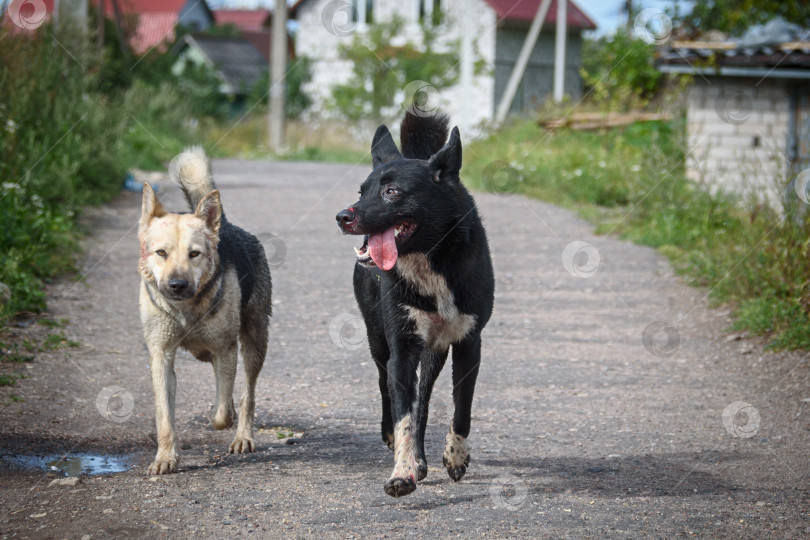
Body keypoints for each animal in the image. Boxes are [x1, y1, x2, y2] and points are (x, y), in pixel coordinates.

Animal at [137, 148, 274, 472]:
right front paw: (165, 457)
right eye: (161, 253)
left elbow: (222, 413)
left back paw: (243, 436)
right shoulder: (161, 355)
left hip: (254, 339)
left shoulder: (226, 348)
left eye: (194, 254)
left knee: (247, 393)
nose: (177, 285)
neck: (186, 309)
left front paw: (221, 415)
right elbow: (164, 415)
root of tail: (227, 226)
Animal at [334, 112, 492, 496]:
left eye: (392, 192)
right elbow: (403, 414)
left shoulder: (469, 343)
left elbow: (461, 409)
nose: (343, 216)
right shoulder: (403, 348)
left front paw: (455, 456)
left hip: (434, 350)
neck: (429, 257)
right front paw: (402, 471)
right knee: (386, 386)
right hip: (379, 340)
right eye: (362, 191)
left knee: (425, 398)